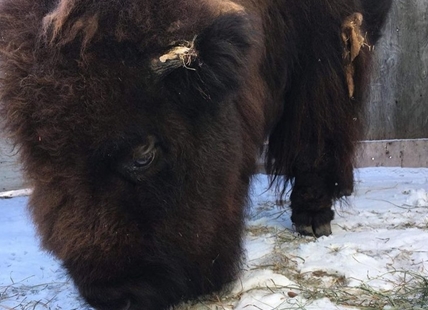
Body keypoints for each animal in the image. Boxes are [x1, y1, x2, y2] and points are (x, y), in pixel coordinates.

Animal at [0, 0, 392, 308]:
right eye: (38, 156)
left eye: (143, 153)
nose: (111, 295)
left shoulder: (326, 43)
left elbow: (317, 121)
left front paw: (312, 218)